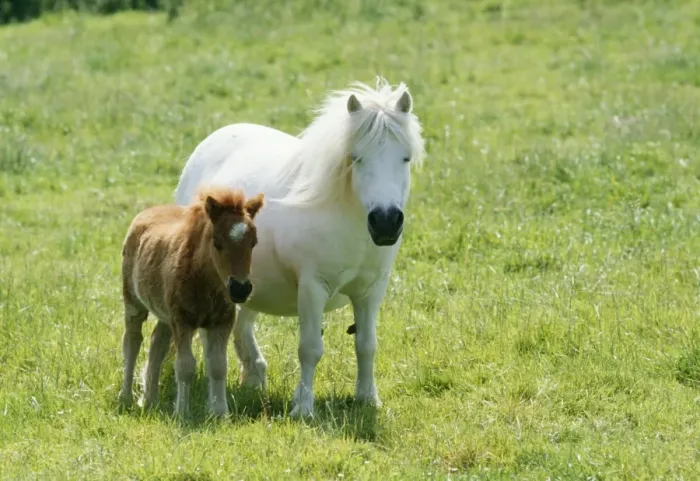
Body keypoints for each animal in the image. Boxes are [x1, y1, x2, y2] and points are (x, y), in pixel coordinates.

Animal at [118, 185, 265, 418]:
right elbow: (185, 366)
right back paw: (126, 397)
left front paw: (220, 414)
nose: (240, 288)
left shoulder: (222, 321)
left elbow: (218, 365)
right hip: (133, 301)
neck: (205, 282)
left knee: (157, 343)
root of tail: (146, 212)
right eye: (217, 242)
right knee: (132, 341)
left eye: (254, 243)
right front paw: (182, 414)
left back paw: (150, 400)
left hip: (166, 315)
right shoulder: (183, 320)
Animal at [174, 77, 425, 418]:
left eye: (405, 158)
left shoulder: (372, 290)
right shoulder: (313, 287)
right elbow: (310, 349)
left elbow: (366, 345)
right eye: (356, 157)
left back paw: (254, 376)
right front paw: (303, 407)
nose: (385, 222)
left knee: (243, 324)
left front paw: (367, 398)